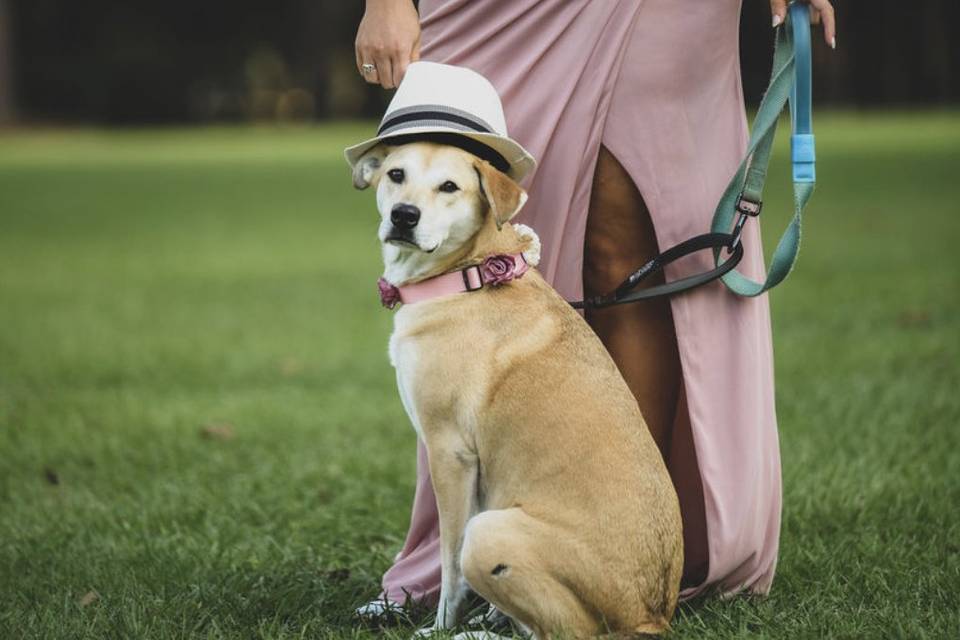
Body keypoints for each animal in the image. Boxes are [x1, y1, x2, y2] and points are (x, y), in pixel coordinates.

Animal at [354, 142, 684, 636]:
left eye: (449, 186)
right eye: (396, 174)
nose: (404, 215)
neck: (469, 276)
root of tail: (652, 616)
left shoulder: (449, 453)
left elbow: (450, 566)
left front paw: (441, 626)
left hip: (490, 534)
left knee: (566, 631)